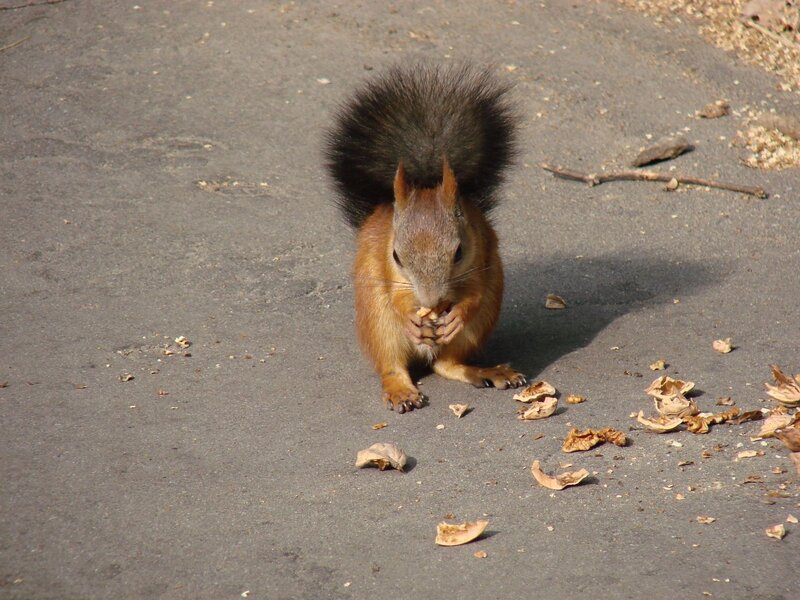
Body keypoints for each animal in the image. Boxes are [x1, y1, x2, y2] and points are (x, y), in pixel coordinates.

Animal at [325, 64, 526, 413]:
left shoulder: (481, 252)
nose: (431, 302)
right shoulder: (387, 269)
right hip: (378, 323)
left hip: (480, 322)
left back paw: (485, 371)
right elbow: (397, 296)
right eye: (396, 256)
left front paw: (457, 312)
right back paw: (400, 389)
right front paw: (411, 316)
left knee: (446, 364)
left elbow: (473, 293)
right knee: (391, 365)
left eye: (459, 252)